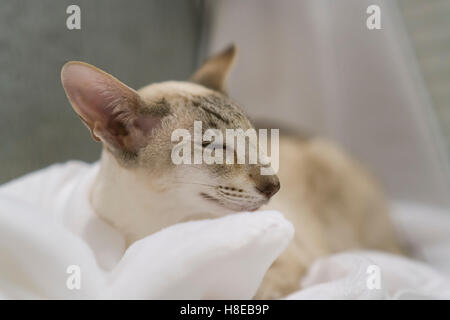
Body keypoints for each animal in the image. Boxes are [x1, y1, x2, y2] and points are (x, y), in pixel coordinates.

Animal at [60, 45, 404, 300]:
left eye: (252, 137)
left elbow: (254, 289)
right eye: (215, 147)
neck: (157, 228)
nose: (275, 185)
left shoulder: (291, 264)